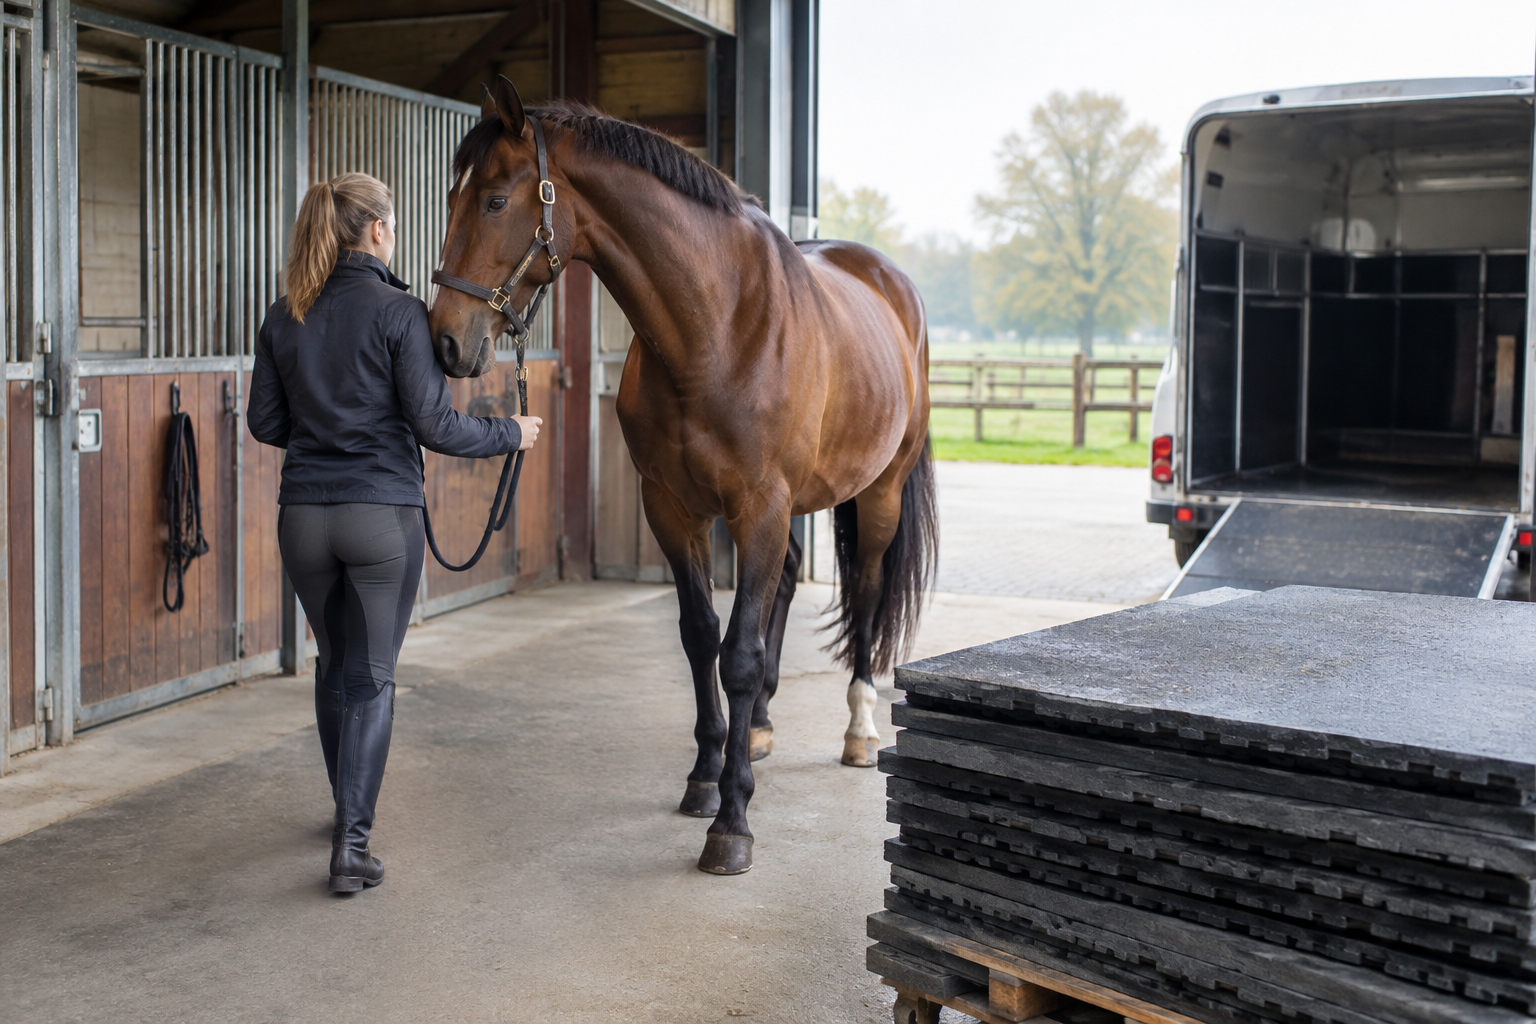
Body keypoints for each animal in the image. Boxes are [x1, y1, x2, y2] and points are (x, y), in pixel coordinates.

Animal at [428, 76, 936, 875]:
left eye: (495, 200)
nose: (447, 340)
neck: (718, 326)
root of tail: (891, 283)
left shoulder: (757, 507)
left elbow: (740, 654)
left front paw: (732, 823)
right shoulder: (672, 507)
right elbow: (703, 638)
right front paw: (706, 774)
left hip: (879, 491)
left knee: (867, 588)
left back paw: (859, 730)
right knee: (785, 584)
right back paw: (759, 727)